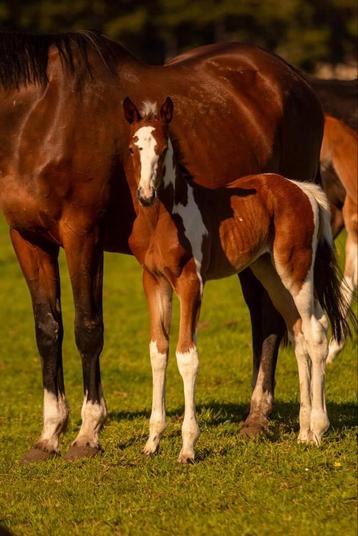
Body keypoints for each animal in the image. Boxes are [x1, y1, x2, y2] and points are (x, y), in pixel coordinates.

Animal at [0, 32, 322, 460]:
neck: (37, 115)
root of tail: (296, 80)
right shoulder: (27, 238)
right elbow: (47, 330)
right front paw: (49, 434)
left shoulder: (82, 234)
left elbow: (88, 328)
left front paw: (88, 433)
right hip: (258, 258)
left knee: (273, 320)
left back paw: (262, 419)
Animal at [123, 95, 350, 460]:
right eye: (134, 147)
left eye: (163, 148)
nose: (146, 194)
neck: (161, 220)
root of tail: (302, 190)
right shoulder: (153, 282)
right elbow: (158, 352)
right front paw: (152, 442)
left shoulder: (191, 282)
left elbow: (186, 356)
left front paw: (188, 447)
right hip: (269, 272)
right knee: (298, 331)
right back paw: (303, 432)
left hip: (296, 270)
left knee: (316, 329)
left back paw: (317, 428)